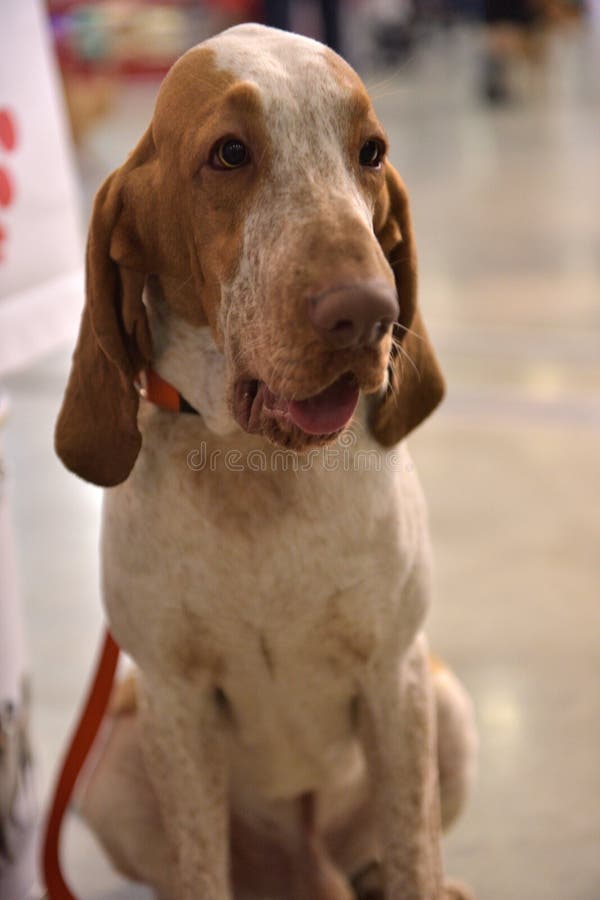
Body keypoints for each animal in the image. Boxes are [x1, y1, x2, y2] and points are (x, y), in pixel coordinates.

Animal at [56, 22, 478, 900]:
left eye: (371, 152)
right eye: (229, 153)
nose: (369, 315)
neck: (257, 469)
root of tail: (308, 870)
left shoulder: (395, 677)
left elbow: (414, 850)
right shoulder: (174, 702)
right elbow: (195, 866)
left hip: (446, 707)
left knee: (386, 856)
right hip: (112, 767)